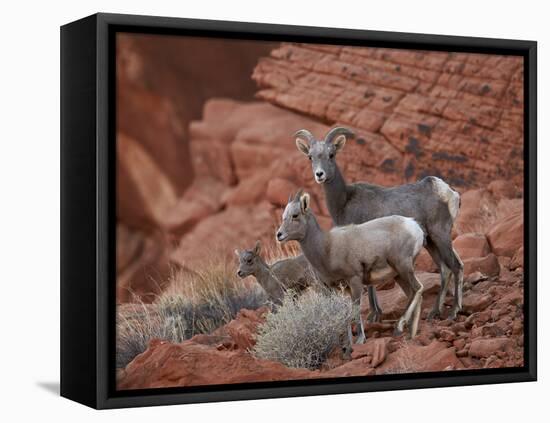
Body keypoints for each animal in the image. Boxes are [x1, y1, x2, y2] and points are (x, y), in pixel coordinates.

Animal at [276, 190, 426, 342]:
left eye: (295, 215)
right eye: (283, 217)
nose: (279, 235)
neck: (327, 248)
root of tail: (414, 226)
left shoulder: (355, 281)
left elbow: (355, 310)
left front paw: (360, 340)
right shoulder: (341, 288)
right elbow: (347, 313)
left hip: (403, 267)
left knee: (418, 288)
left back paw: (399, 327)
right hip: (398, 275)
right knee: (412, 294)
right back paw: (411, 334)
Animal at [296, 126, 464, 322]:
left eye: (331, 154)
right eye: (310, 157)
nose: (319, 174)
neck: (345, 201)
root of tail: (448, 192)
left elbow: (369, 285)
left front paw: (373, 315)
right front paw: (376, 314)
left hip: (440, 235)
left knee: (456, 266)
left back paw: (453, 312)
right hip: (430, 241)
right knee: (445, 269)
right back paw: (434, 313)